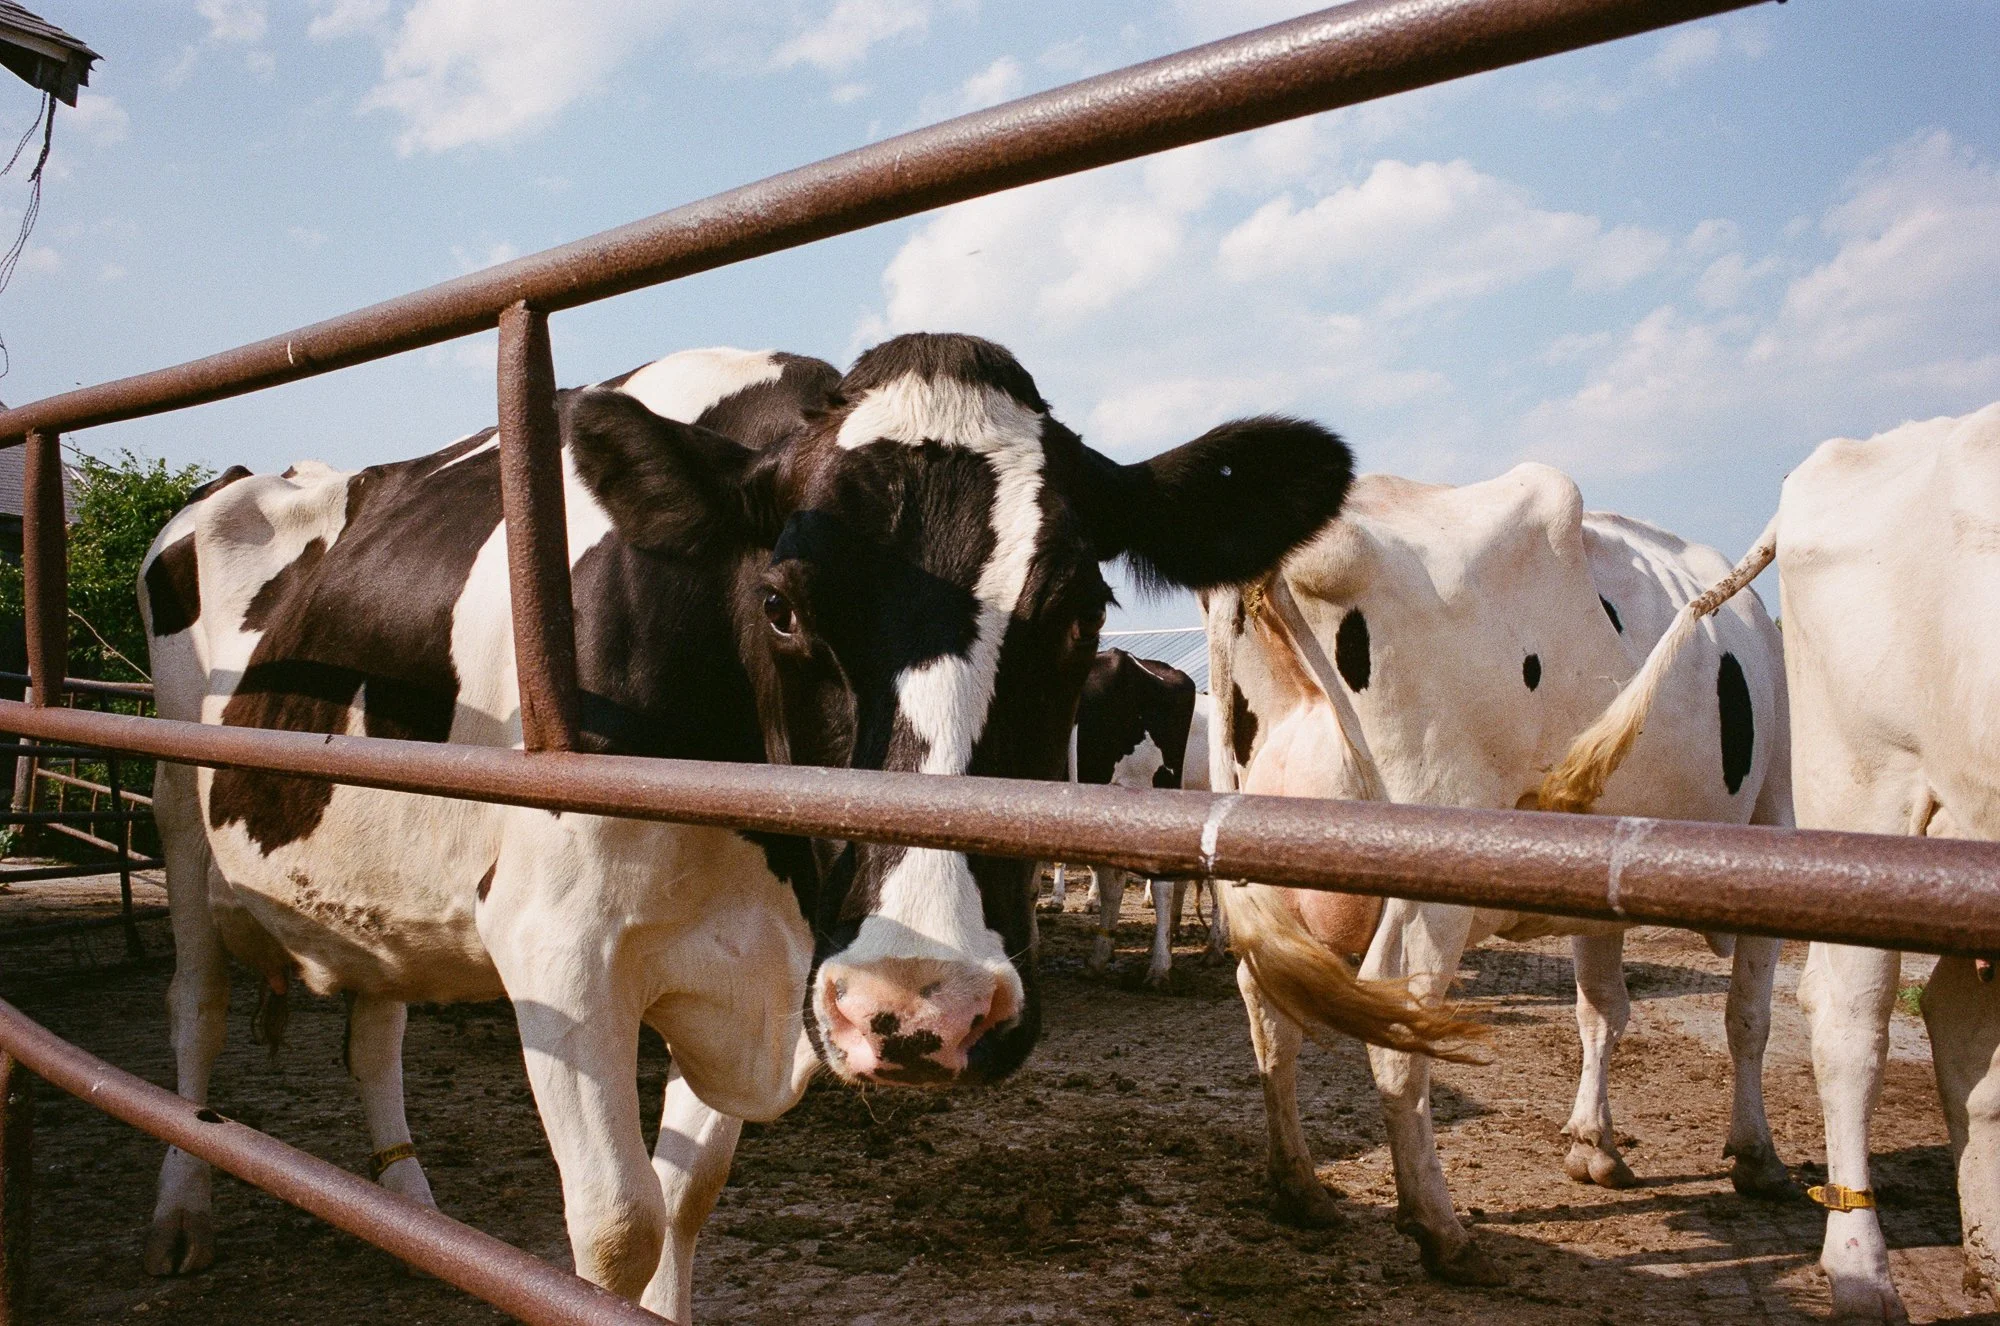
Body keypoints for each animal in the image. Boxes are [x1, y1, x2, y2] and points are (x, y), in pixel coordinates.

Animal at [136, 331, 1431, 1317]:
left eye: (1081, 609)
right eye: (781, 605)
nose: (925, 1008)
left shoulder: (759, 964)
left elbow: (684, 1202)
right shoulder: (560, 950)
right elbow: (617, 1225)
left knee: (374, 1030)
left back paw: (410, 1210)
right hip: (182, 829)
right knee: (195, 1009)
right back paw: (180, 1216)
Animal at [1204, 463, 1793, 1284]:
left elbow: (1602, 1010)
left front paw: (1595, 1145)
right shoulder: (1776, 818)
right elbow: (1747, 1016)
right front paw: (1756, 1155)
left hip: (1260, 862)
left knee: (1267, 1008)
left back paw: (1300, 1189)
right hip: (1431, 871)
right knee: (1395, 1021)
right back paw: (1442, 1231)